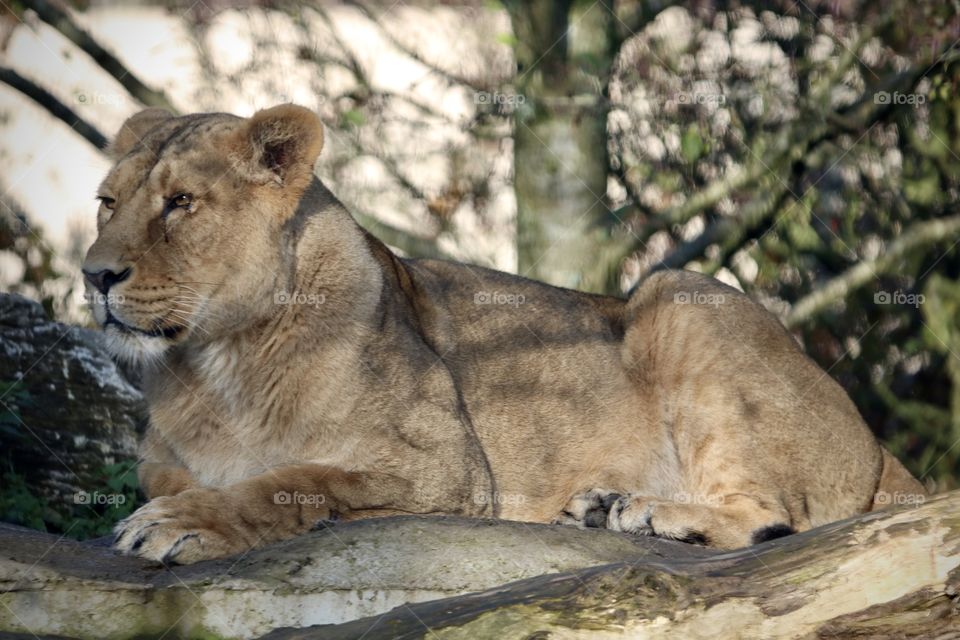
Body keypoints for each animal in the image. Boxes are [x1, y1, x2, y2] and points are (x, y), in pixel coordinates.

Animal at [81, 104, 925, 564]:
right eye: (106, 202)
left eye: (180, 203)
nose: (94, 276)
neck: (215, 361)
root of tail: (882, 448)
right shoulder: (164, 463)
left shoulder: (445, 474)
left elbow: (291, 483)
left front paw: (180, 525)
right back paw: (601, 506)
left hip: (676, 293)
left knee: (774, 515)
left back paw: (653, 513)